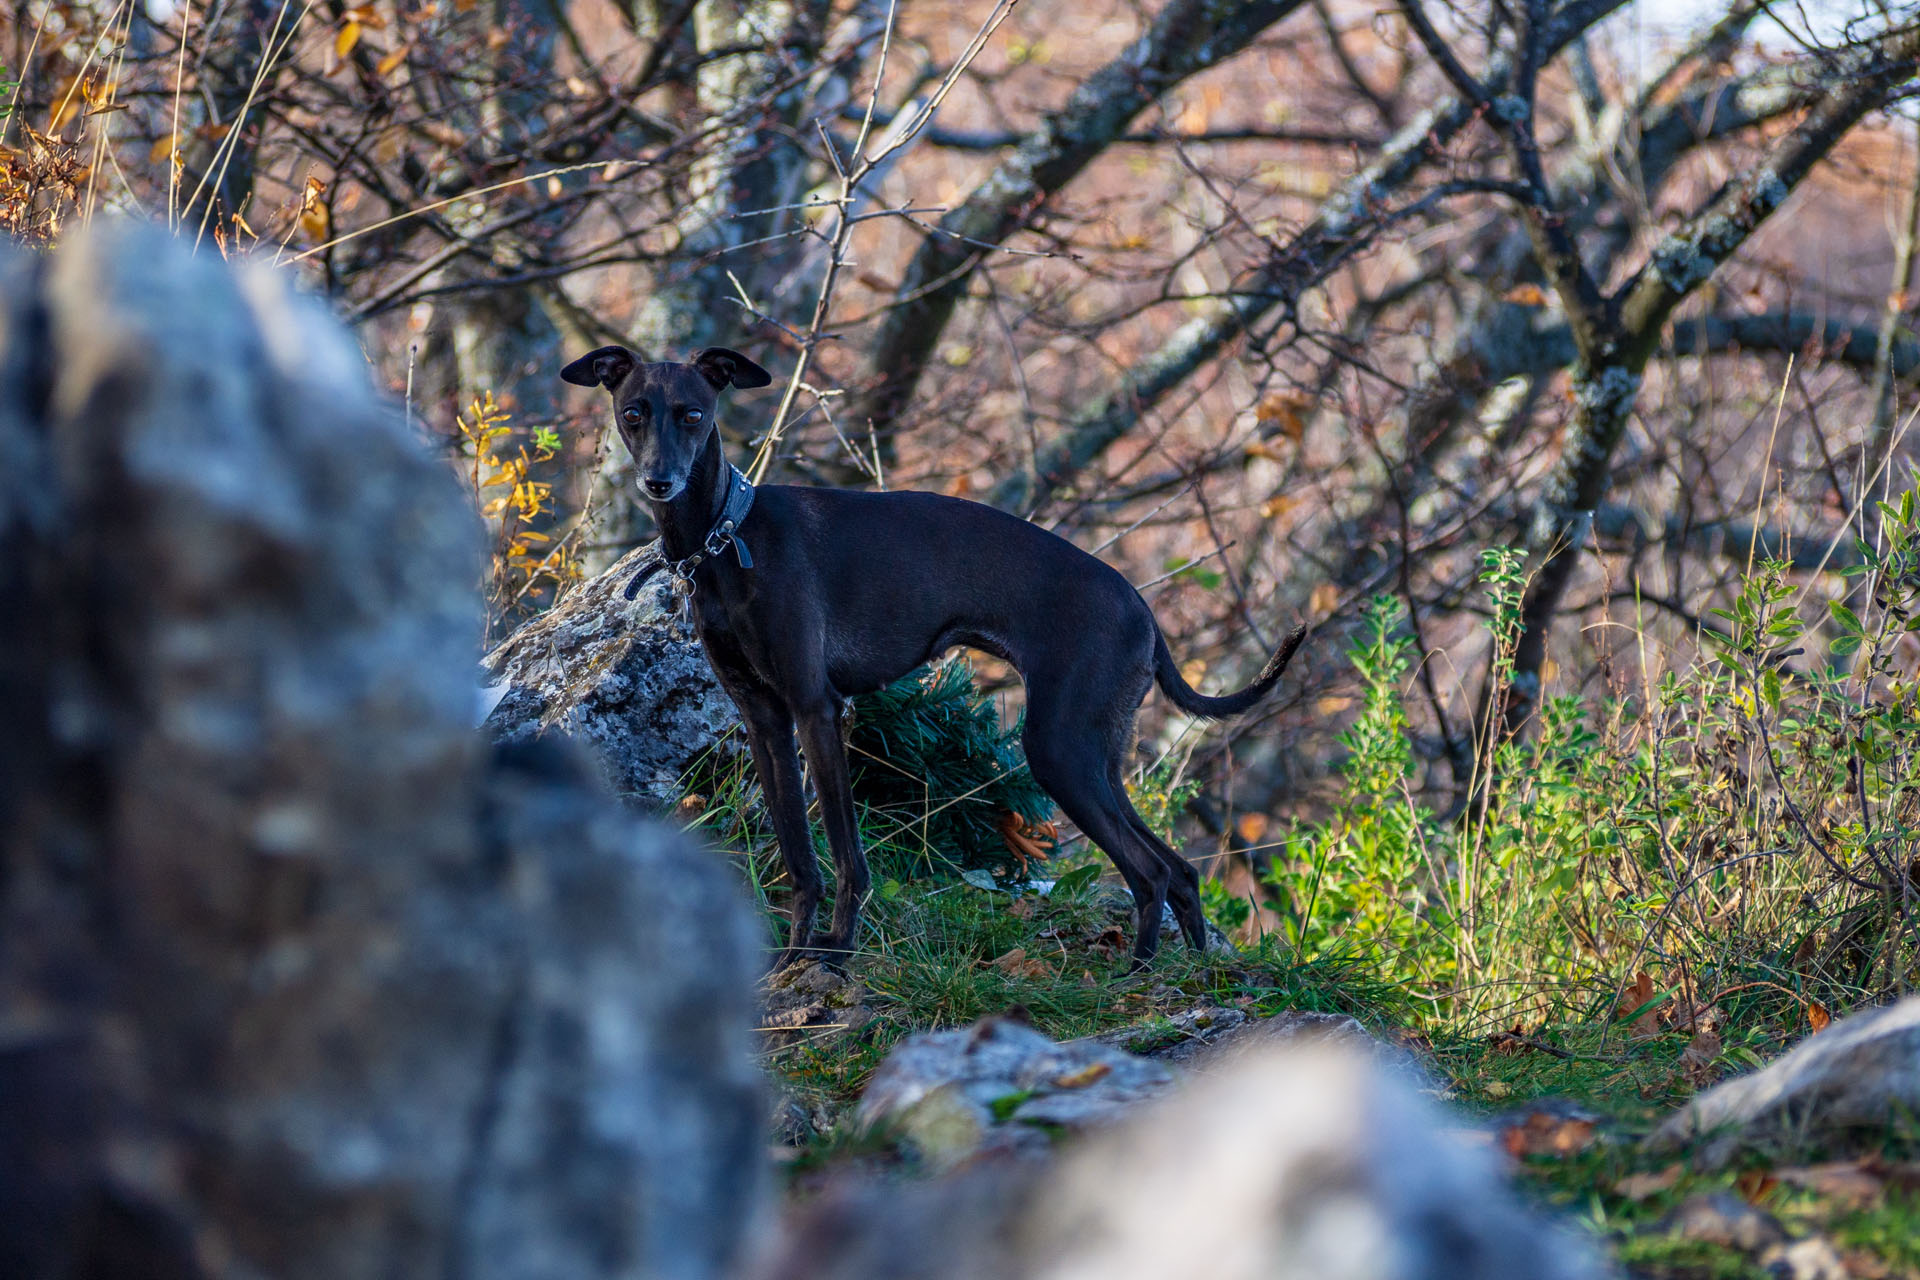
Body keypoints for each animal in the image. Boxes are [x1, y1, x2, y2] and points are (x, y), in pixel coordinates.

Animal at [560, 345, 1305, 967]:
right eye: (633, 413)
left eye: (692, 414)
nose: (659, 483)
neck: (728, 538)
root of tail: (1143, 610)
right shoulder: (765, 721)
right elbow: (799, 856)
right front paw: (793, 956)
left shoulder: (817, 709)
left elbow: (845, 854)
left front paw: (835, 952)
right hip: (1094, 754)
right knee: (1177, 869)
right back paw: (1185, 968)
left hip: (1059, 749)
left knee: (1149, 871)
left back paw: (1139, 973)